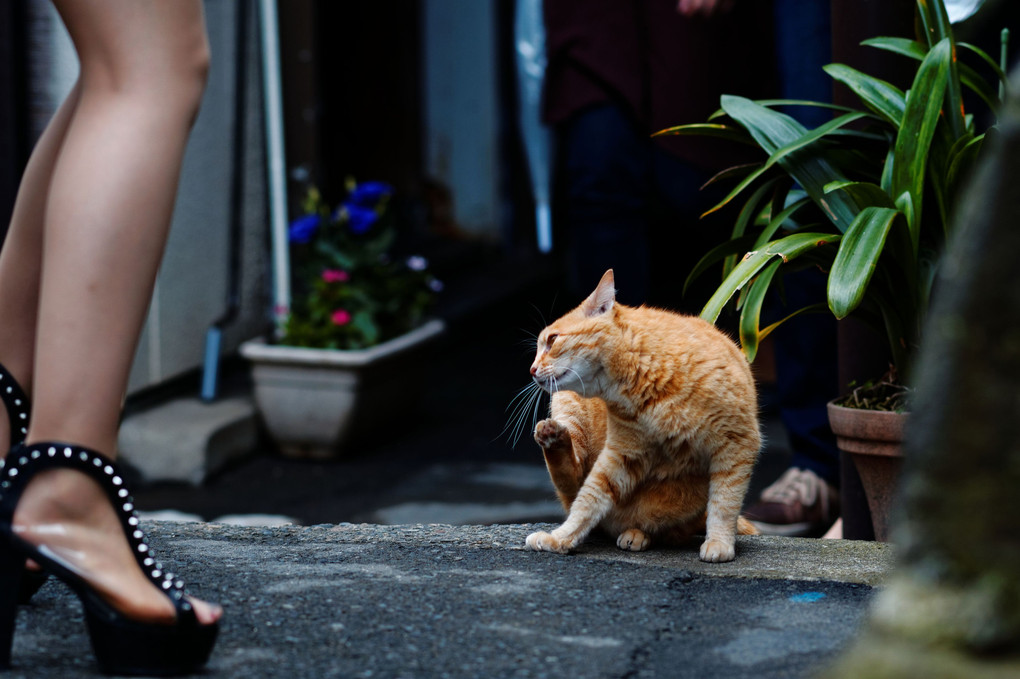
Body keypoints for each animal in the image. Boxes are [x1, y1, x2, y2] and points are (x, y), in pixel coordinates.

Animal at [526, 269, 758, 558]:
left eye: (552, 340)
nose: (531, 370)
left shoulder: (737, 443)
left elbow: (725, 502)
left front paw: (720, 543)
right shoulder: (622, 454)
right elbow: (588, 499)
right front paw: (561, 538)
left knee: (670, 529)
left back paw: (637, 534)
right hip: (565, 402)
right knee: (573, 476)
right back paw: (552, 437)